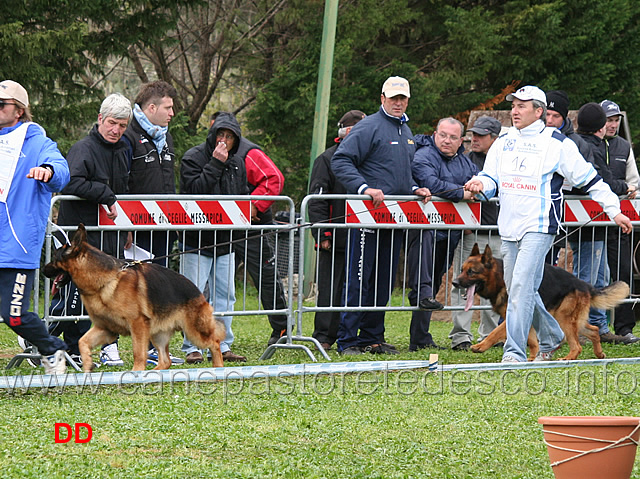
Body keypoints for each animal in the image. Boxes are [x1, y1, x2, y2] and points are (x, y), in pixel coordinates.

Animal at [43, 223, 228, 374]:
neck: (104, 281)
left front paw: (136, 372)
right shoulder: (106, 328)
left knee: (215, 342)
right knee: (166, 360)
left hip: (193, 331)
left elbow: (138, 352)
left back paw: (218, 369)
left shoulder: (137, 325)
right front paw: (87, 363)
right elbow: (82, 341)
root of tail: (198, 291)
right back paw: (154, 372)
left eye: (54, 258)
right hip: (158, 334)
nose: (43, 270)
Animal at [456, 244, 632, 360]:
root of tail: (583, 284)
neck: (499, 278)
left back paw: (568, 358)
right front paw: (532, 358)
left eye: (471, 272)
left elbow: (495, 332)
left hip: (563, 319)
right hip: (572, 320)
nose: (454, 282)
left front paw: (481, 346)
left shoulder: (512, 316)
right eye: (462, 270)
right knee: (594, 330)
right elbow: (532, 341)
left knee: (577, 345)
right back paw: (599, 353)